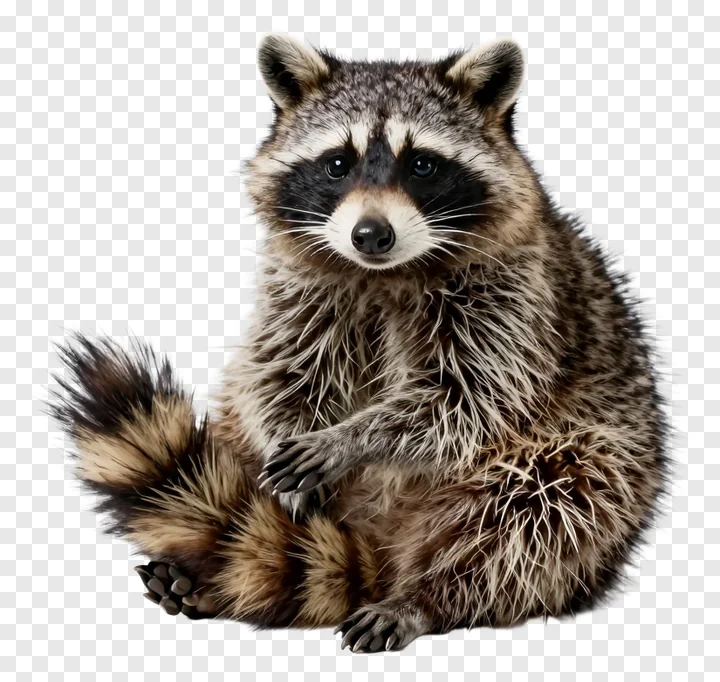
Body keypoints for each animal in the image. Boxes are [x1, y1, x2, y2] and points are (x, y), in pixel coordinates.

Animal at [51, 35, 668, 652]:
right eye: (336, 164)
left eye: (422, 164)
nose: (371, 234)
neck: (385, 273)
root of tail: (382, 550)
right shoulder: (298, 288)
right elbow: (279, 374)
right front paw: (292, 430)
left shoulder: (517, 297)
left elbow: (466, 399)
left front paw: (354, 437)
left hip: (596, 469)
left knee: (538, 509)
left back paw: (428, 595)